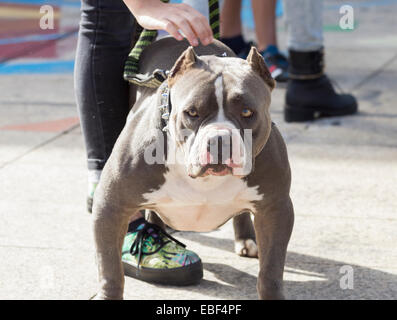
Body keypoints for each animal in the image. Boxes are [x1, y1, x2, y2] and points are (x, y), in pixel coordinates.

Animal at [91, 37, 292, 300]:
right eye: (192, 112)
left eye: (247, 112)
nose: (219, 139)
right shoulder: (111, 206)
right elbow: (110, 271)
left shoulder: (275, 209)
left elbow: (270, 272)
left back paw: (247, 239)